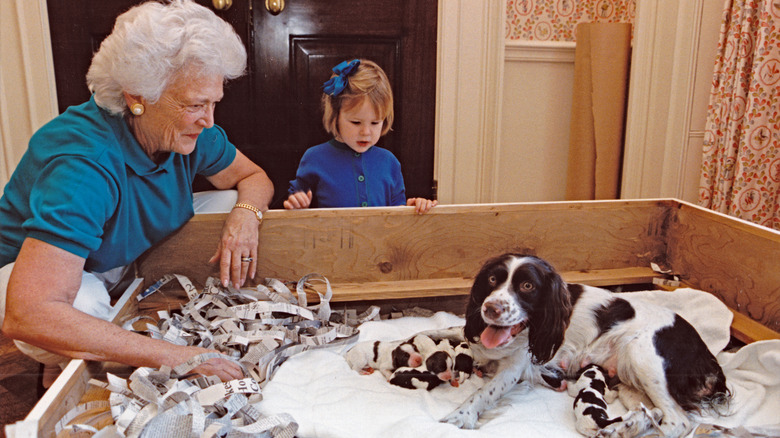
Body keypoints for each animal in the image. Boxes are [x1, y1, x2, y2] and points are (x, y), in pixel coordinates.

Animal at [444, 252, 732, 436]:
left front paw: (460, 416)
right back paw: (625, 427)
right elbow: (446, 329)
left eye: (527, 286)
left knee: (677, 422)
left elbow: (483, 392)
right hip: (630, 382)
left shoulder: (516, 367)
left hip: (643, 356)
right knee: (654, 413)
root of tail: (708, 358)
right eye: (493, 279)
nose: (490, 309)